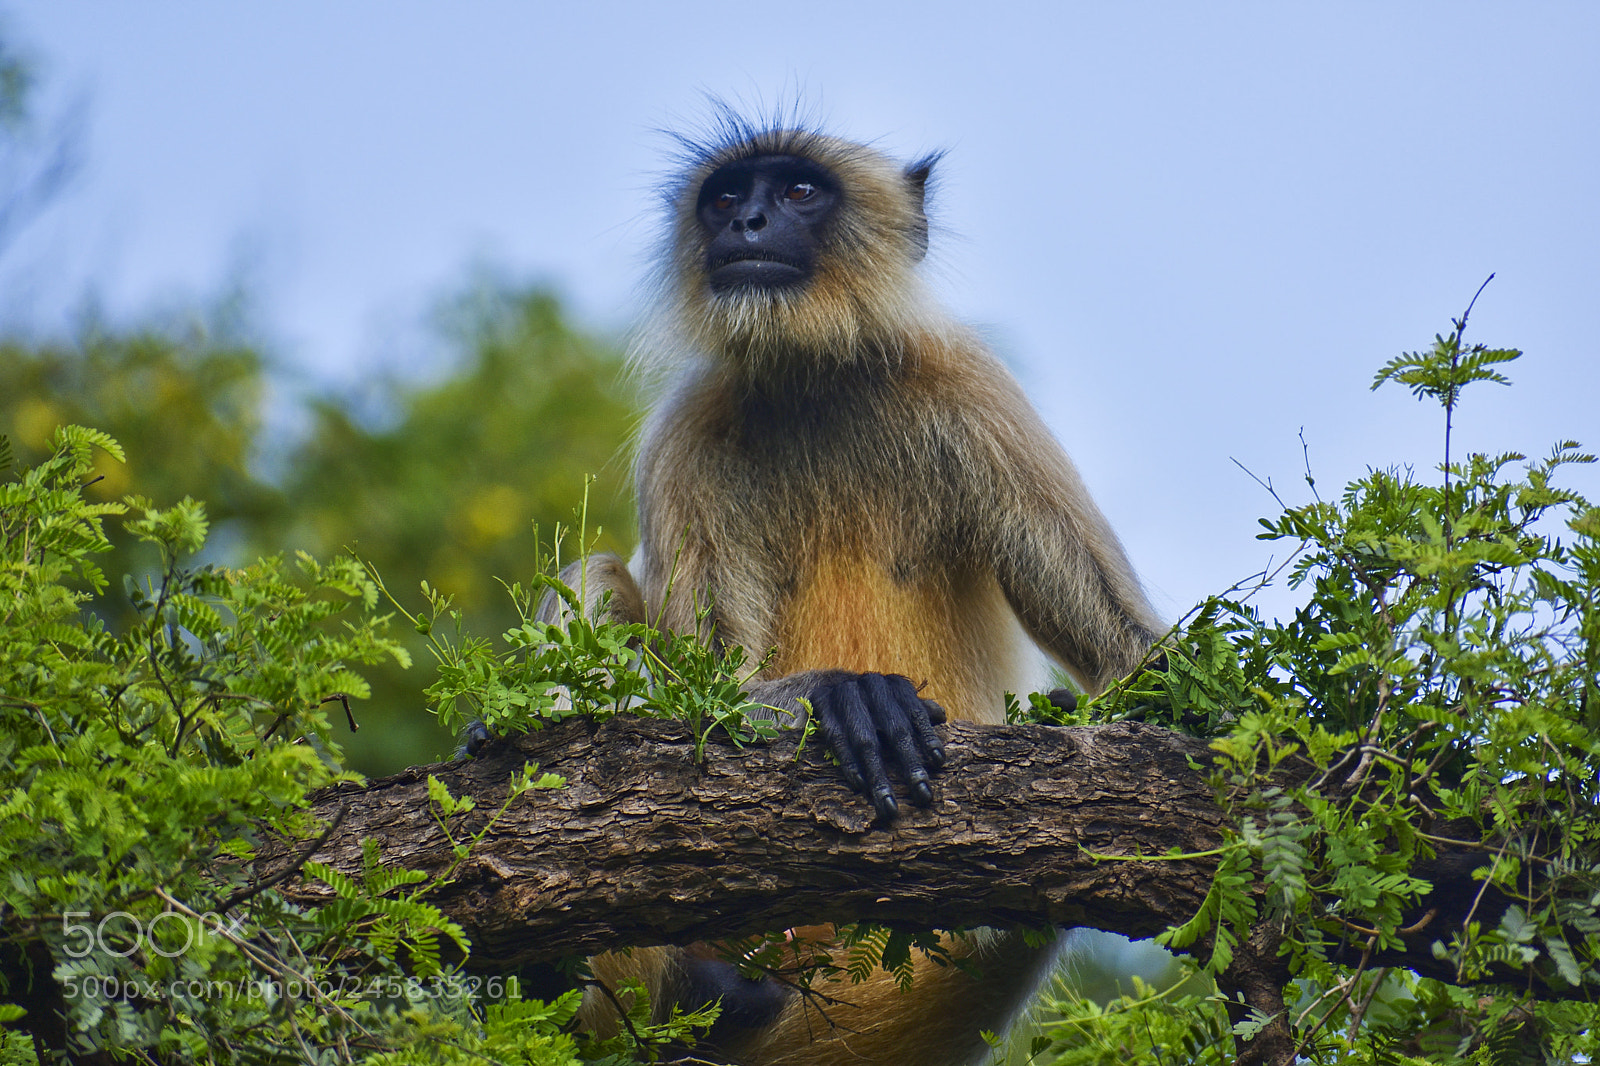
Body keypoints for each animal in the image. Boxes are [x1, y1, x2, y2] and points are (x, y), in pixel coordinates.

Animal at [532, 111, 1166, 1066]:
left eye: (798, 191)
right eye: (726, 196)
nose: (745, 224)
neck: (815, 378)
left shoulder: (970, 386)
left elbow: (1128, 654)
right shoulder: (688, 435)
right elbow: (698, 703)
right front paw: (844, 695)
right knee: (598, 576)